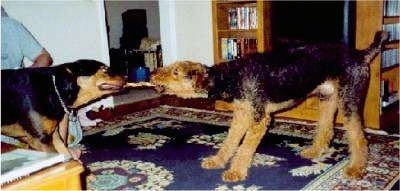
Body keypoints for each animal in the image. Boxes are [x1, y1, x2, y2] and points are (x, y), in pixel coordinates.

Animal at [149, 31, 388, 182]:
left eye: (176, 72)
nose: (152, 74)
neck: (229, 78)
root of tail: (360, 54)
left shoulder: (259, 119)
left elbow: (244, 148)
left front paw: (235, 173)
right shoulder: (242, 115)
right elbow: (230, 142)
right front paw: (217, 161)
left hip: (349, 101)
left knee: (359, 138)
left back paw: (356, 169)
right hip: (327, 99)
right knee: (327, 130)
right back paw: (313, 151)